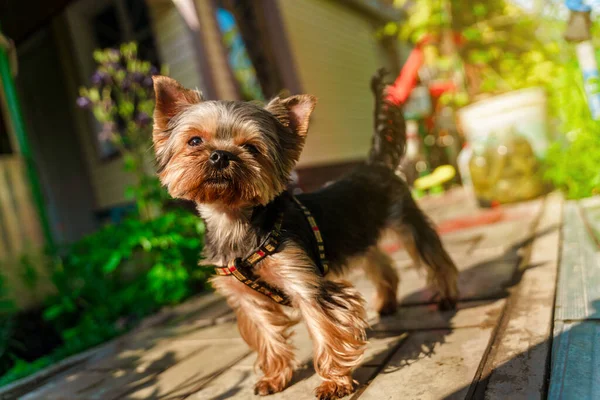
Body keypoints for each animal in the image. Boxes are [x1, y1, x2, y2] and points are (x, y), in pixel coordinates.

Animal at [152, 72, 458, 400]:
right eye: (195, 140)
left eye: (252, 147)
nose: (220, 156)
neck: (234, 221)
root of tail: (374, 163)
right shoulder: (247, 300)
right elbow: (267, 334)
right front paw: (274, 377)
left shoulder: (304, 282)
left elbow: (324, 328)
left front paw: (333, 382)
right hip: (359, 235)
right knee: (380, 261)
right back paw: (387, 302)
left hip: (406, 222)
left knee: (433, 256)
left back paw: (447, 297)